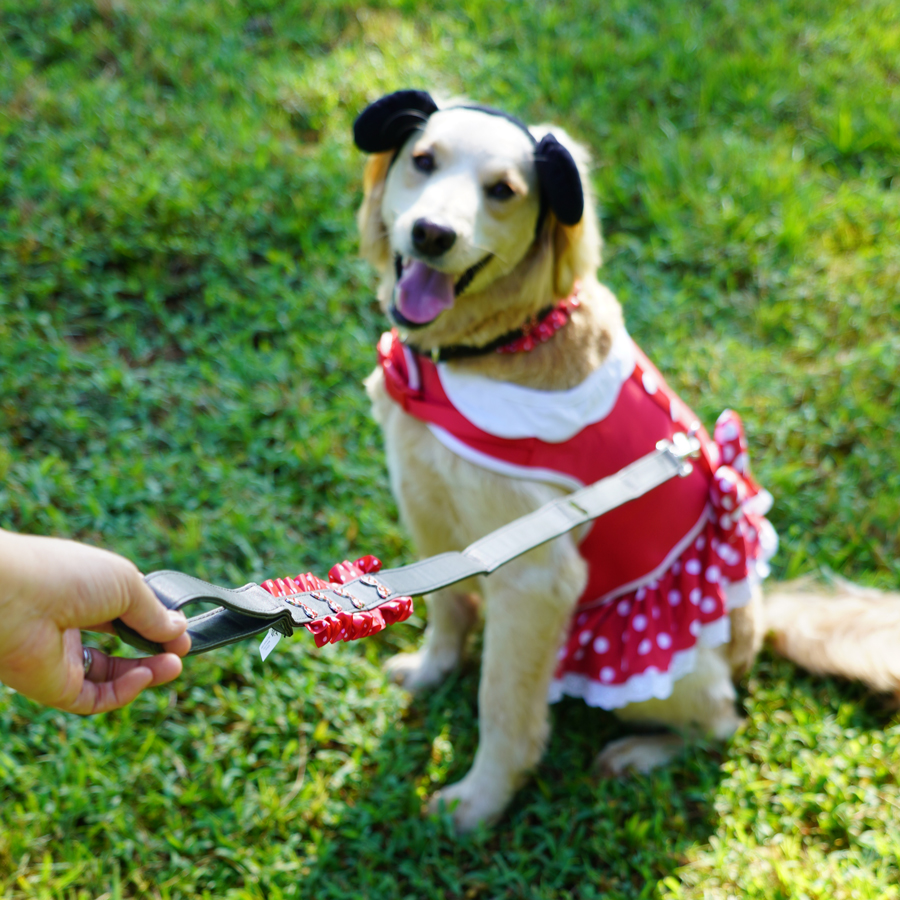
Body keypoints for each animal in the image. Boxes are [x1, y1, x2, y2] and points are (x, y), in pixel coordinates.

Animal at [354, 89, 900, 828]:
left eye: (503, 191)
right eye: (422, 159)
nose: (432, 234)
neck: (492, 347)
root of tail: (758, 626)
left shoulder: (535, 578)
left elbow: (504, 707)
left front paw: (480, 802)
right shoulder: (427, 506)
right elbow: (448, 609)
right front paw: (433, 671)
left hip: (657, 676)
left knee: (723, 721)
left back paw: (639, 754)